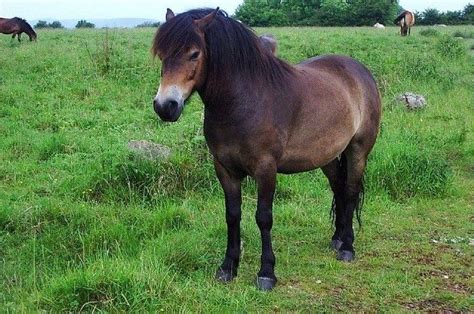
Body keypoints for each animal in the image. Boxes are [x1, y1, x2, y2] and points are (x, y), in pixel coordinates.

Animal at [152, 7, 382, 292]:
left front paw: (266, 273)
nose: (165, 106)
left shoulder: (265, 169)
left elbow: (263, 217)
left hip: (358, 150)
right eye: (162, 54)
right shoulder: (225, 169)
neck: (243, 102)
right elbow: (232, 215)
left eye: (194, 53)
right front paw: (228, 267)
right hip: (326, 156)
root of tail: (359, 70)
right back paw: (337, 238)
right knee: (339, 188)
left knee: (350, 192)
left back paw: (347, 247)